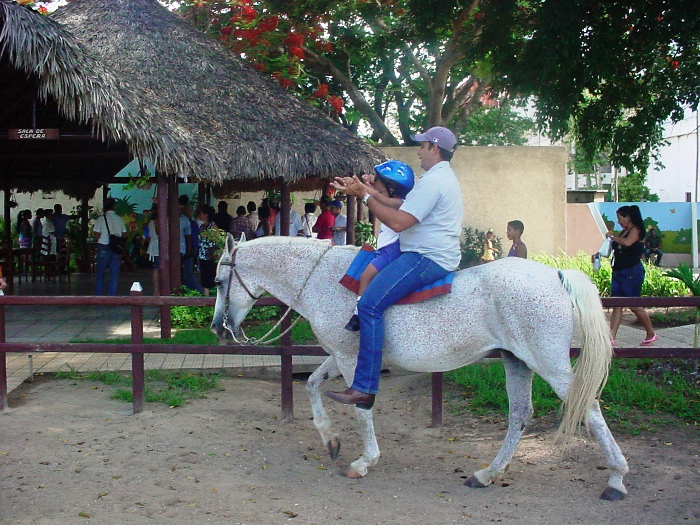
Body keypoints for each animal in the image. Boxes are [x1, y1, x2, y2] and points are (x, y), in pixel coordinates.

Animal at [209, 235, 628, 498]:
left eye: (217, 281)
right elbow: (311, 384)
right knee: (521, 414)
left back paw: (616, 480)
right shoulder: (338, 357)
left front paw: (364, 461)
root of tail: (555, 274)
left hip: (549, 363)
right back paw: (487, 474)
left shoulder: (351, 360)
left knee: (588, 408)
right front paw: (331, 440)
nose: (217, 327)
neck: (327, 281)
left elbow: (361, 407)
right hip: (517, 361)